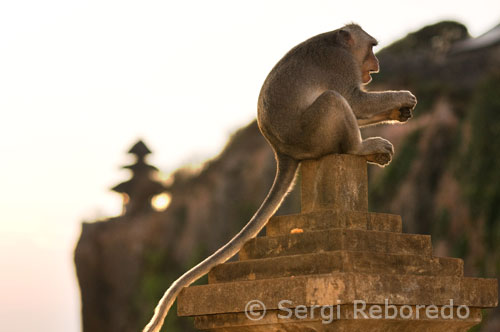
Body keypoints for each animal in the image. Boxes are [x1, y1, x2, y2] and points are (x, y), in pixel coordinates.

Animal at [143, 24, 416, 332]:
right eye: (371, 47)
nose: (376, 64)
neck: (339, 43)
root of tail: (282, 152)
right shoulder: (341, 64)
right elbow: (354, 101)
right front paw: (404, 98)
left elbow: (359, 109)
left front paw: (400, 111)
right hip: (312, 134)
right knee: (333, 100)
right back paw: (358, 148)